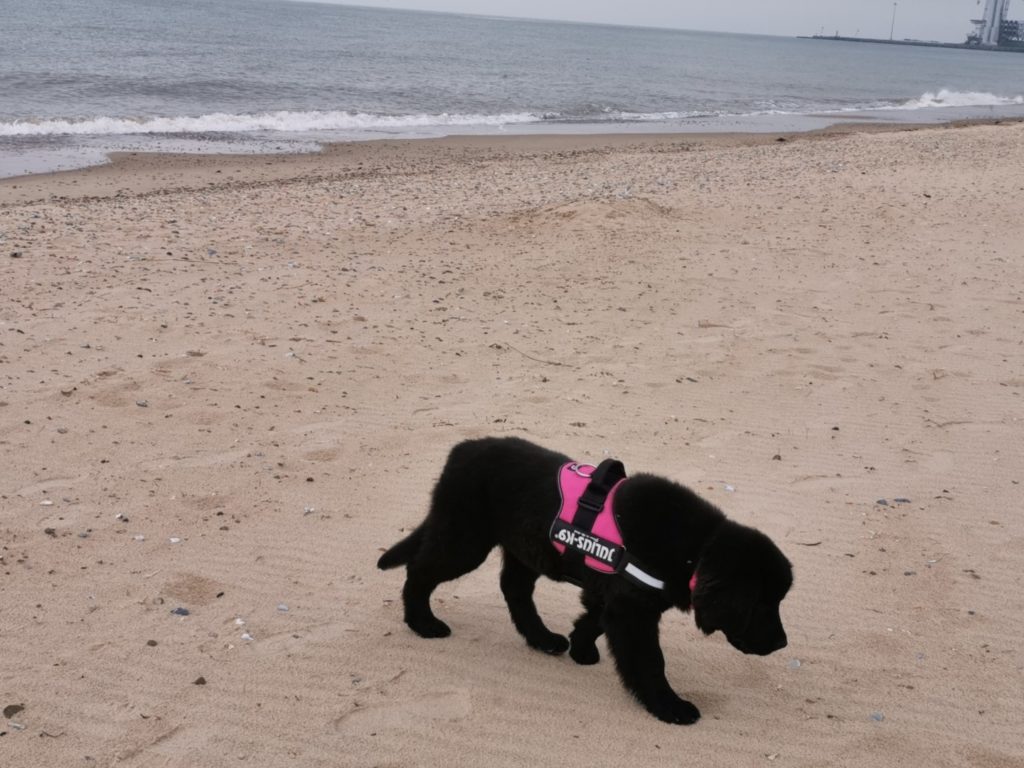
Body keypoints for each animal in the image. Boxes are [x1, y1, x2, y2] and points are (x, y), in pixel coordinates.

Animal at [376, 436, 790, 724]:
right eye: (761, 605)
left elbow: (593, 620)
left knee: (514, 589)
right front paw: (668, 705)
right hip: (465, 541)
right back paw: (422, 623)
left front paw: (581, 648)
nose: (782, 643)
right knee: (419, 571)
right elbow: (649, 662)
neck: (694, 549)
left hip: (526, 547)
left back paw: (543, 639)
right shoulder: (632, 612)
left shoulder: (614, 597)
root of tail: (460, 450)